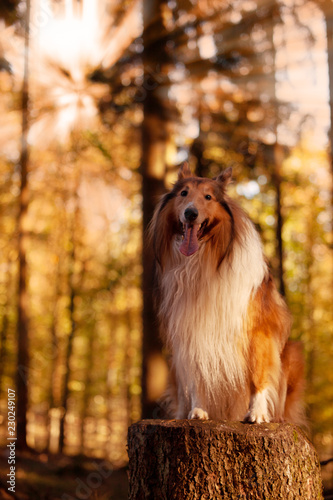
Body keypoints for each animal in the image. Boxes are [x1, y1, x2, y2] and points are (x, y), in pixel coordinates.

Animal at [149, 164, 304, 426]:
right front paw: (198, 411)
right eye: (183, 193)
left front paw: (257, 413)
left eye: (208, 197)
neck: (207, 258)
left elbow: (258, 374)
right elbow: (199, 373)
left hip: (291, 352)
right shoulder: (192, 330)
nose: (191, 214)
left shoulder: (258, 330)